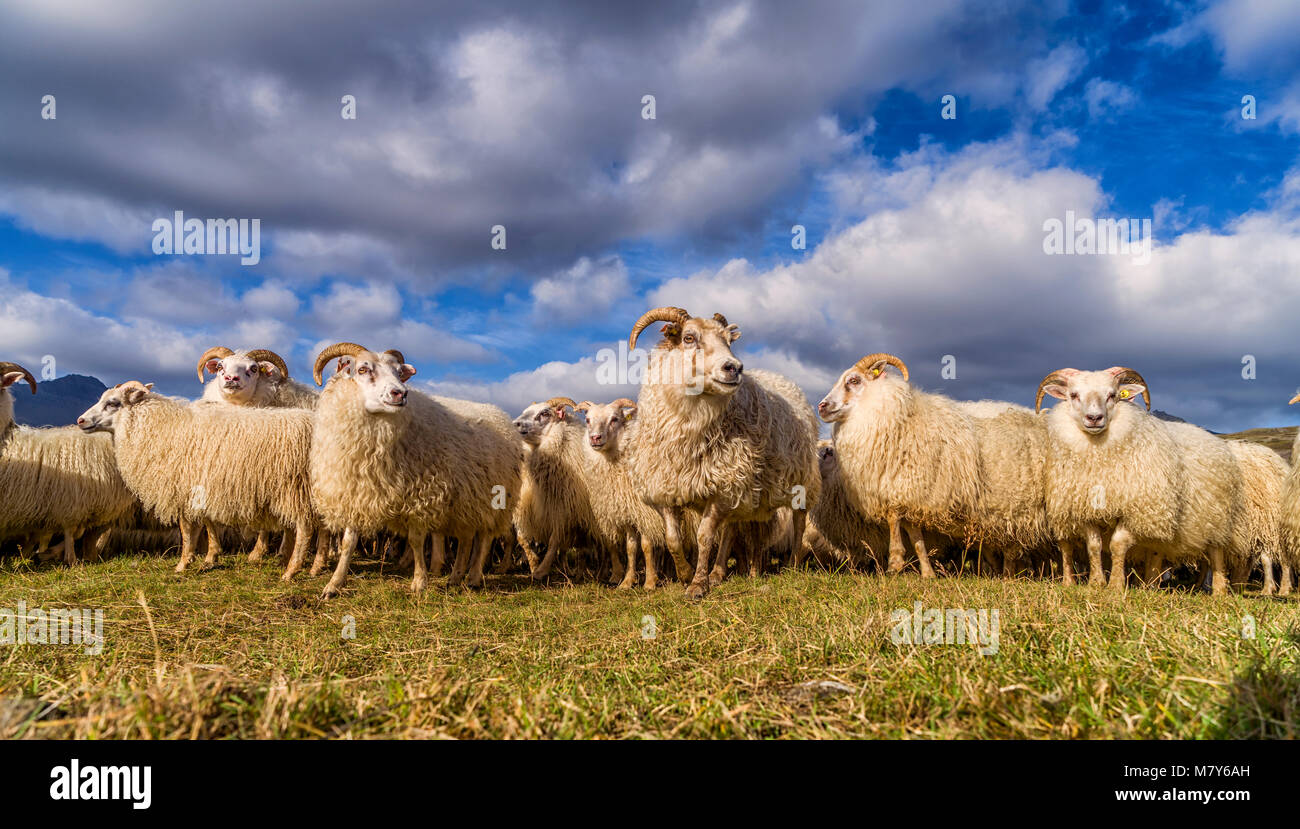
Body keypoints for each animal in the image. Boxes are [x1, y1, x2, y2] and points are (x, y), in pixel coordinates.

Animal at [78, 382, 317, 576]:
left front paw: (183, 563)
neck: (159, 427)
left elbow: (186, 529)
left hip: (295, 487)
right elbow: (208, 522)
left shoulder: (182, 486)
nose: (80, 420)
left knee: (305, 527)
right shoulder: (201, 483)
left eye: (112, 403)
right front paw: (211, 557)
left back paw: (292, 570)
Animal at [308, 343, 522, 597]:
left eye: (399, 372)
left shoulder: (420, 497)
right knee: (466, 538)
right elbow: (348, 542)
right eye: (362, 369)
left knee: (485, 538)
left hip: (492, 499)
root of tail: (500, 414)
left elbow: (416, 540)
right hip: (465, 502)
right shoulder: (356, 492)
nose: (400, 393)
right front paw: (334, 584)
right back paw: (455, 577)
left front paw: (420, 582)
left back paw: (473, 577)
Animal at [512, 397, 603, 582]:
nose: (515, 424)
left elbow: (555, 541)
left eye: (545, 413)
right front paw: (534, 564)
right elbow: (522, 538)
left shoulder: (564, 510)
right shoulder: (527, 508)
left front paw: (542, 570)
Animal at [574, 397, 665, 587]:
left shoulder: (646, 512)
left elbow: (646, 546)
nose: (595, 438)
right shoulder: (628, 511)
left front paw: (650, 582)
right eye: (587, 420)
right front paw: (627, 581)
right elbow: (631, 548)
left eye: (614, 419)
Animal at [624, 309, 816, 600]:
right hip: (739, 489)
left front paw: (696, 585)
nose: (734, 368)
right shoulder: (666, 487)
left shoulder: (722, 485)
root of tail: (781, 378)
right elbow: (673, 539)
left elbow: (704, 537)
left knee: (799, 523)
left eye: (728, 340)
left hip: (801, 482)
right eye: (688, 337)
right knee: (730, 529)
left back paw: (793, 564)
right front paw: (685, 574)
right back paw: (718, 573)